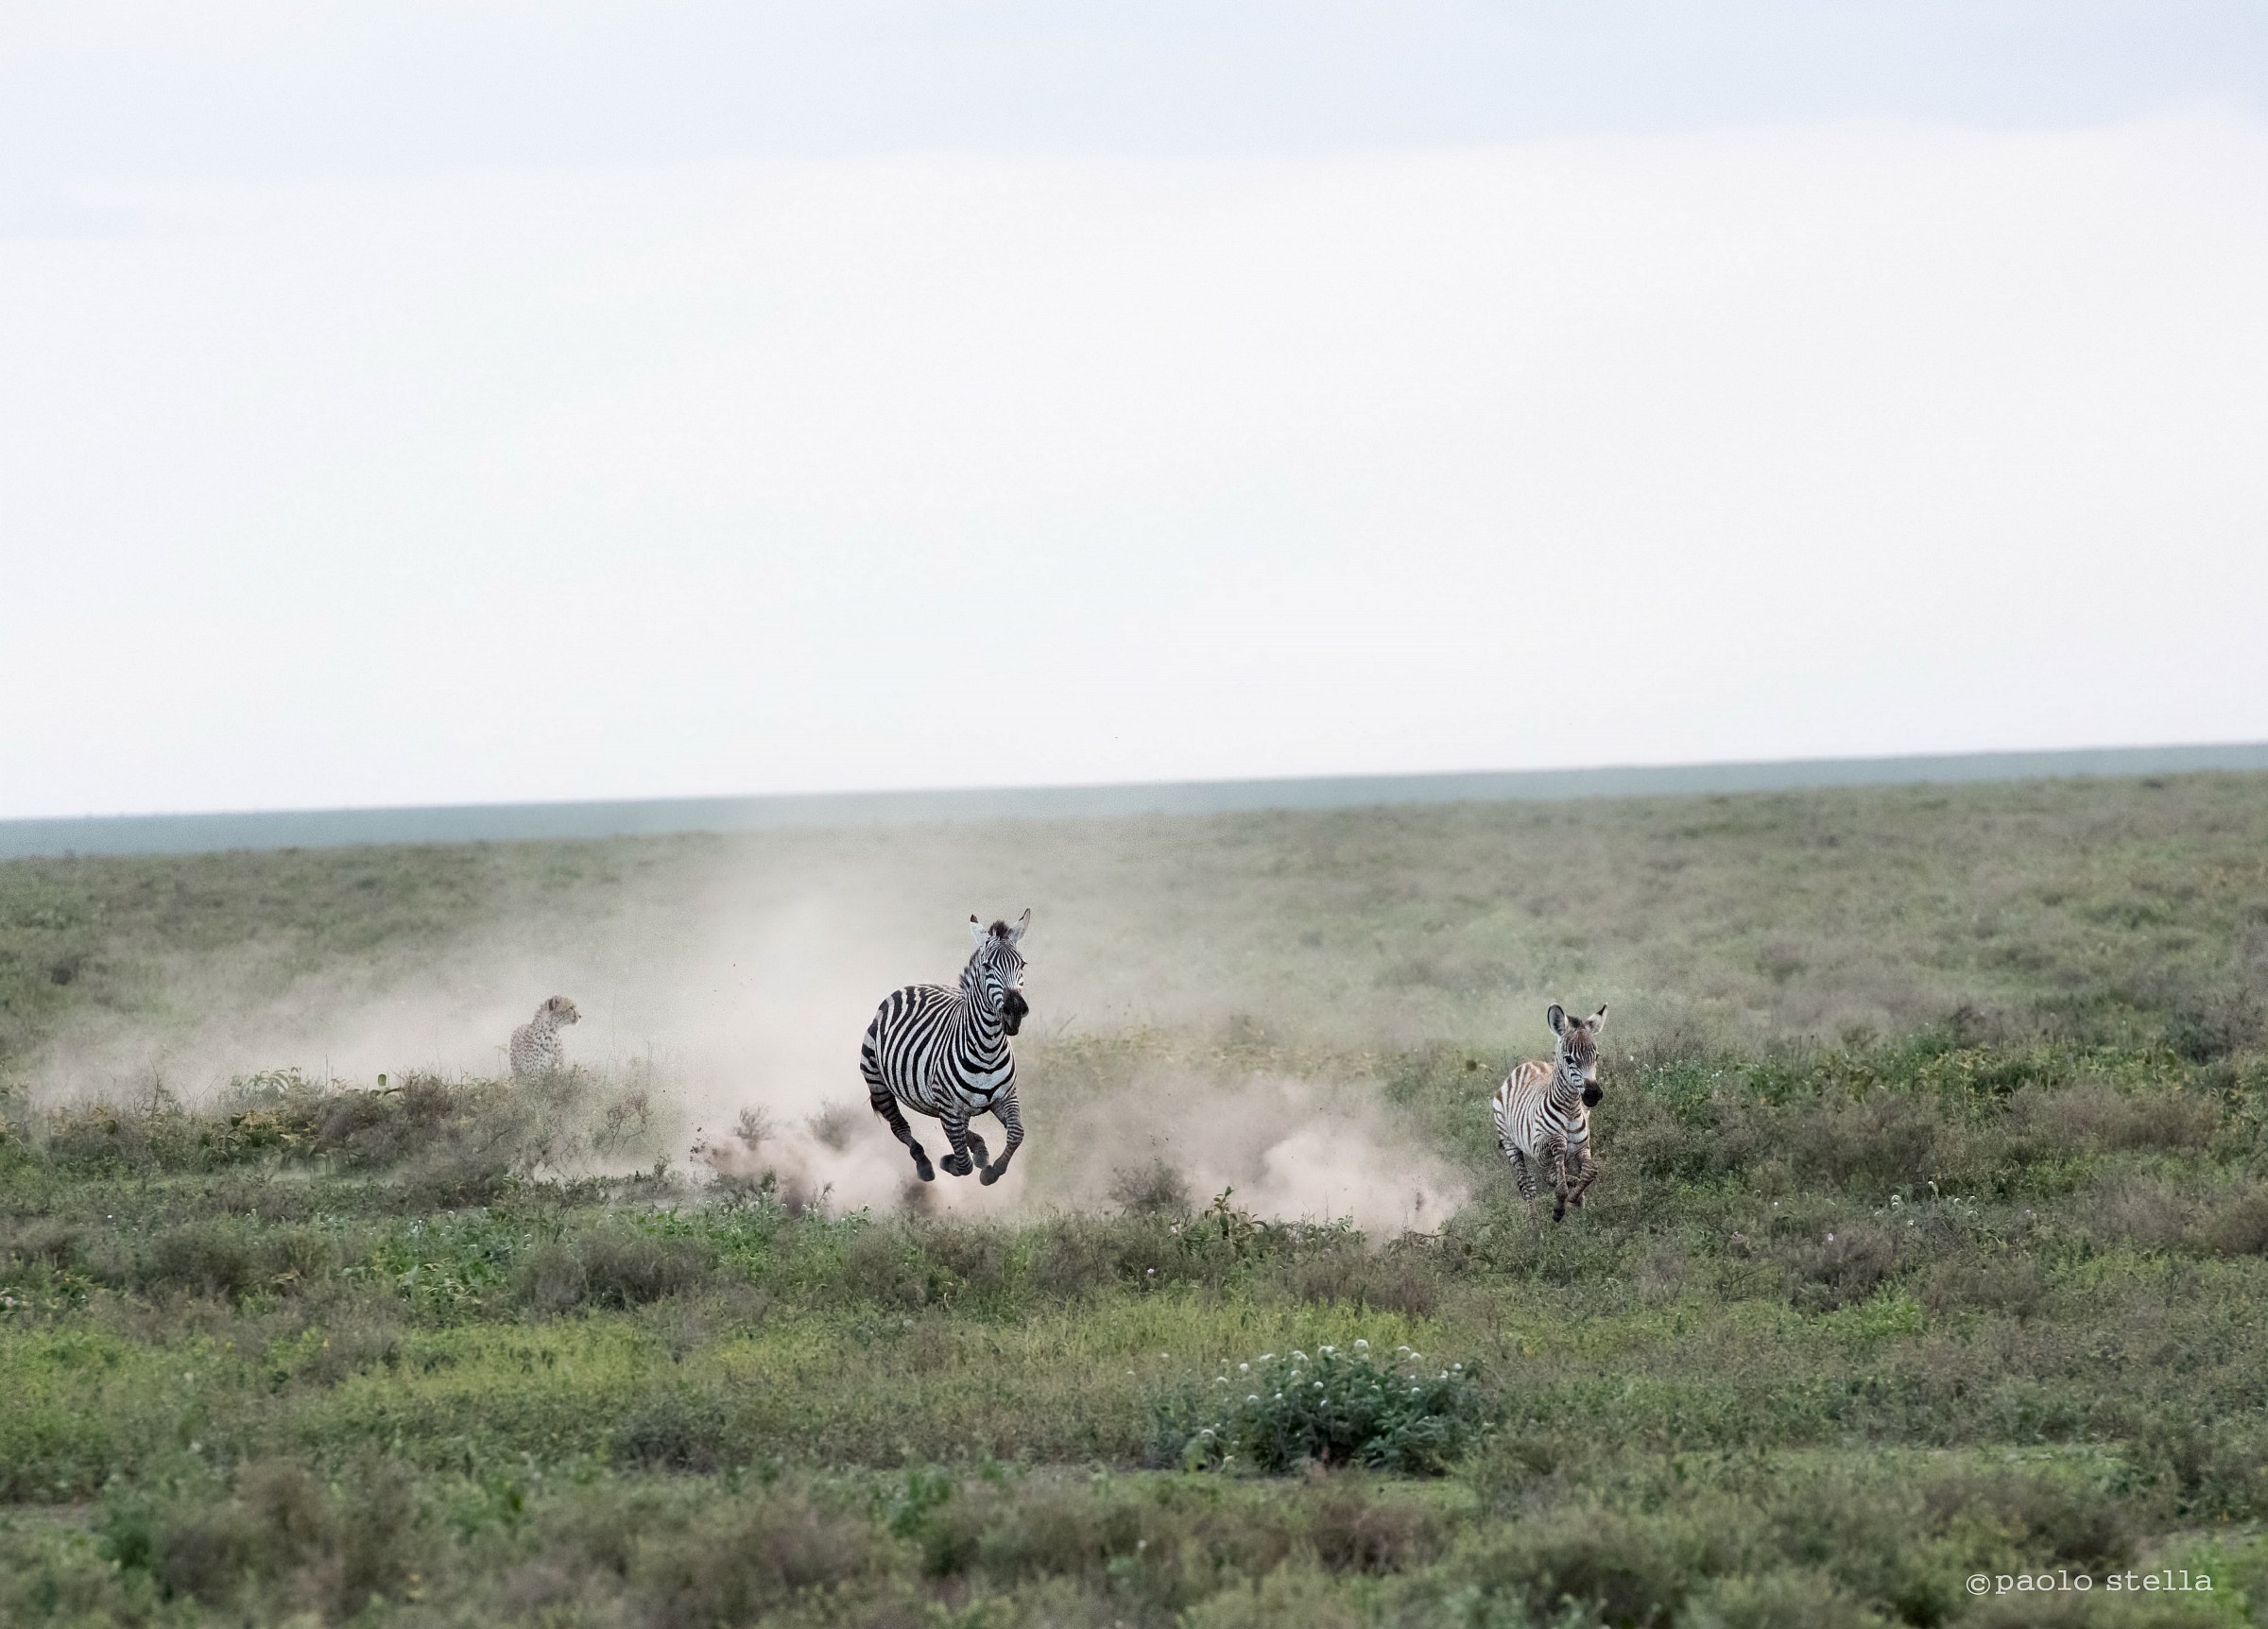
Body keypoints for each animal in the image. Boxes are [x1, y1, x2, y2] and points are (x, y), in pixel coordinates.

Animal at [861, 910, 1031, 1186]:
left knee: (959, 1127)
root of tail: (913, 986)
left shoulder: (1006, 1096)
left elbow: (1016, 1133)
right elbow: (963, 1163)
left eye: (1022, 964)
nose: (1015, 1011)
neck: (988, 1049)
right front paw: (949, 1162)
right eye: (987, 967)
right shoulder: (949, 1107)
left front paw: (992, 1171)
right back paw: (925, 1164)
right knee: (900, 1127)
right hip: (879, 1083)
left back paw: (980, 1150)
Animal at [1492, 1002, 1609, 1221]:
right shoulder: (1541, 1147)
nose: (1593, 1094)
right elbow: (1558, 1170)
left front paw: (1576, 1198)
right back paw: (1534, 1222)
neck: (1571, 1111)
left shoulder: (1583, 1146)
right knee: (1526, 1182)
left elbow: (1591, 1171)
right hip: (1511, 1144)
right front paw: (1560, 1208)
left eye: (1596, 1056)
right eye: (1569, 1059)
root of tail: (1525, 1064)